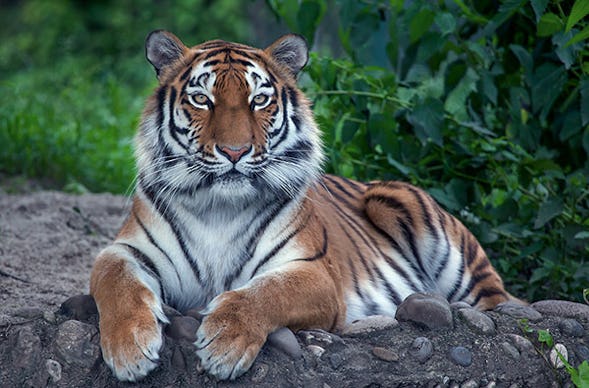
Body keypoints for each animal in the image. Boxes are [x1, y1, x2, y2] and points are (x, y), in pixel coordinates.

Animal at [89, 30, 516, 382]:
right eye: (201, 99)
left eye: (259, 100)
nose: (234, 152)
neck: (219, 209)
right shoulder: (126, 250)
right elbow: (116, 281)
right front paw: (129, 349)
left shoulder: (314, 272)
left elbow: (264, 293)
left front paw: (224, 344)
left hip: (409, 211)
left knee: (498, 301)